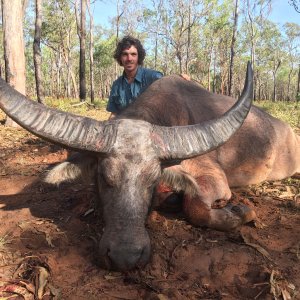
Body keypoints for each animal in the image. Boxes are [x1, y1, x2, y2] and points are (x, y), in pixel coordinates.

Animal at [0, 62, 298, 270]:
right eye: (104, 178)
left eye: (152, 180)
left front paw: (241, 212)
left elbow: (197, 208)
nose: (125, 257)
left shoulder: (213, 177)